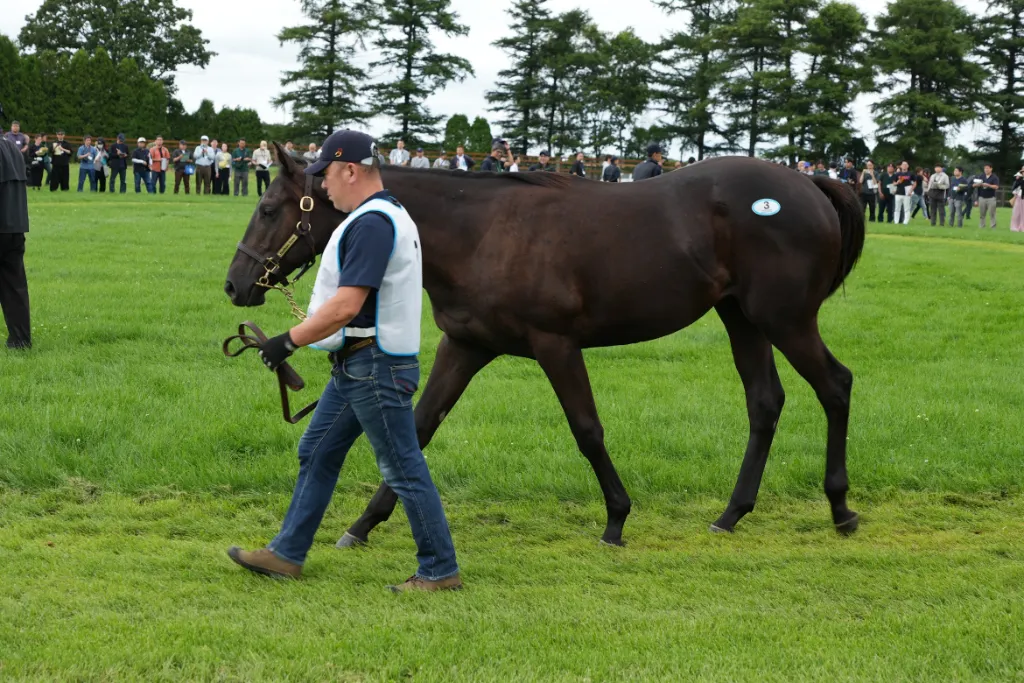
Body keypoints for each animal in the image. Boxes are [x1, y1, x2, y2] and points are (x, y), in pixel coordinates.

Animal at [225, 142, 865, 547]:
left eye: (268, 207)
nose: (235, 284)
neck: (482, 232)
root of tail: (808, 182)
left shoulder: (557, 345)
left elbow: (587, 429)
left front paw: (616, 518)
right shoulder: (466, 346)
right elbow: (421, 425)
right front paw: (364, 522)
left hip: (785, 319)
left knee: (835, 385)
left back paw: (839, 507)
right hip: (743, 319)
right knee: (765, 403)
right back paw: (732, 513)